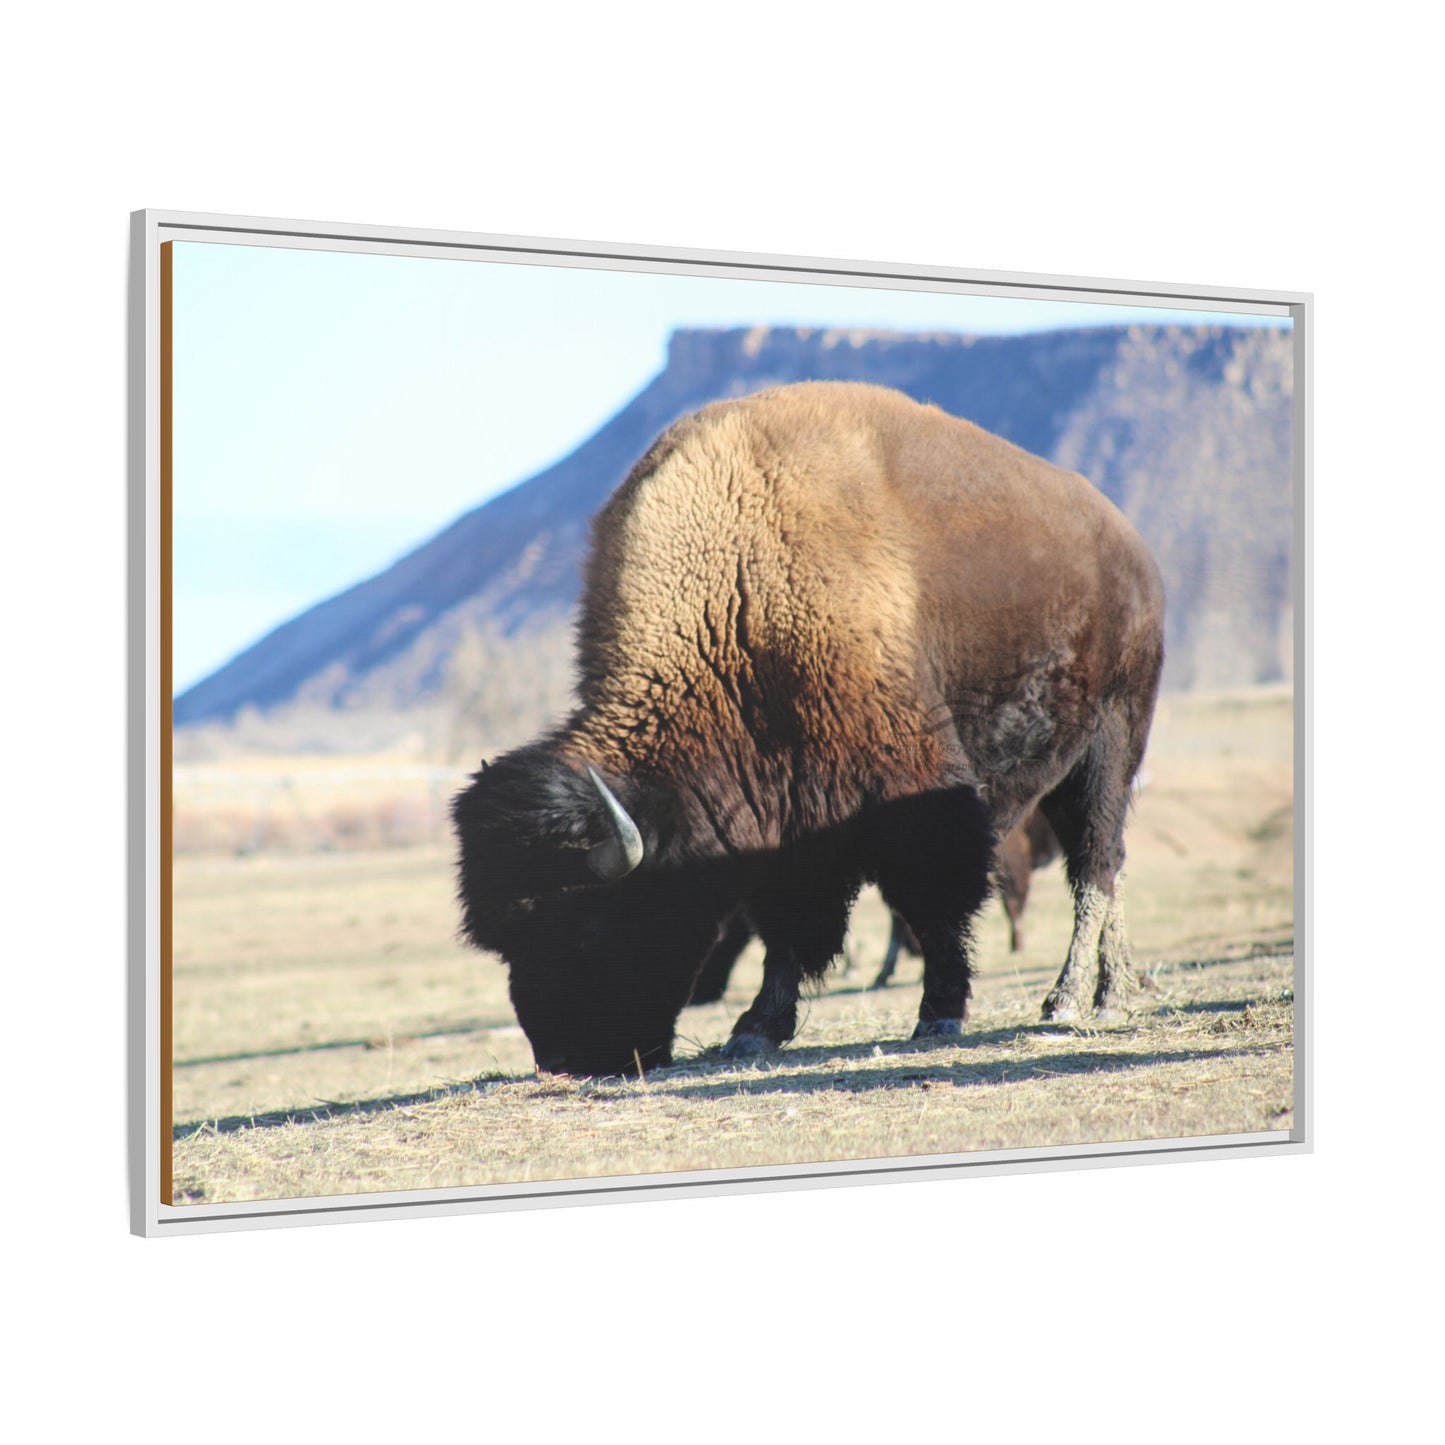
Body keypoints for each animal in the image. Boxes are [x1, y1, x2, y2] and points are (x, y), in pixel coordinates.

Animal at [453, 382, 1164, 1076]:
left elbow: (932, 902)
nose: (563, 1061)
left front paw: (939, 1014)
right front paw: (755, 1030)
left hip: (1109, 745)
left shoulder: (913, 792)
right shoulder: (782, 819)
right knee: (1109, 865)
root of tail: (1131, 549)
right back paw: (1112, 990)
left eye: (588, 926)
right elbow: (786, 928)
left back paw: (1074, 999)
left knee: (1095, 866)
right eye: (505, 941)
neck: (737, 598)